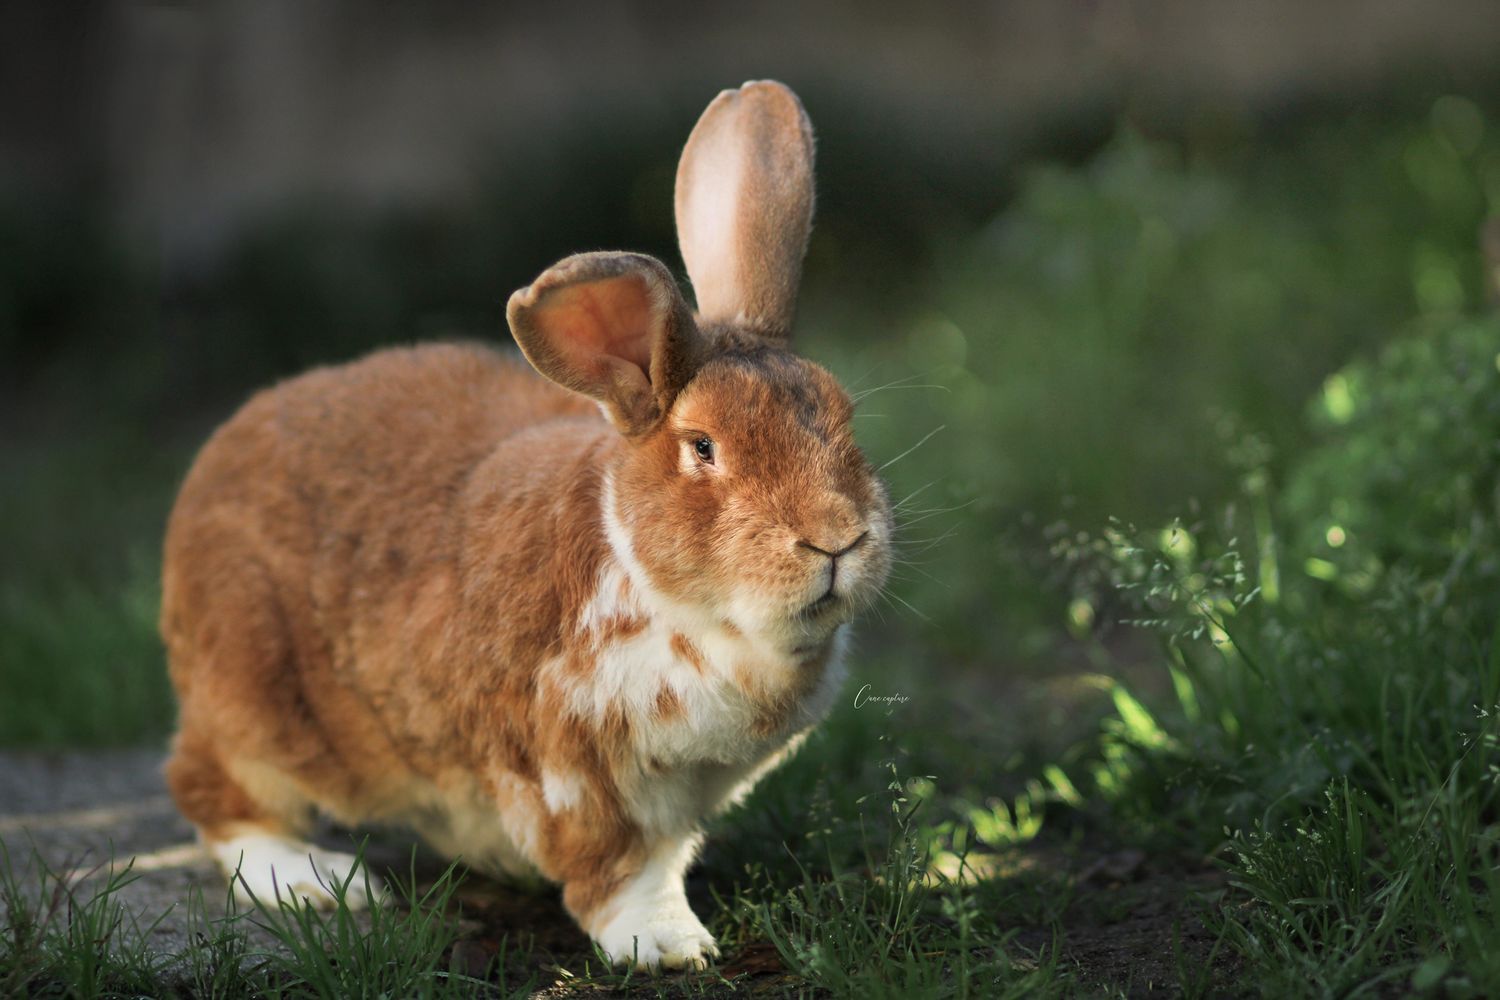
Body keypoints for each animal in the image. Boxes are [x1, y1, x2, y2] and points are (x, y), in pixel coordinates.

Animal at [160, 80, 893, 970]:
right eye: (703, 447)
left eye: (843, 416)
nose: (837, 537)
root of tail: (208, 470)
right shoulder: (572, 771)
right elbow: (620, 871)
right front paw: (670, 947)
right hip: (257, 703)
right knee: (215, 791)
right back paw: (317, 881)